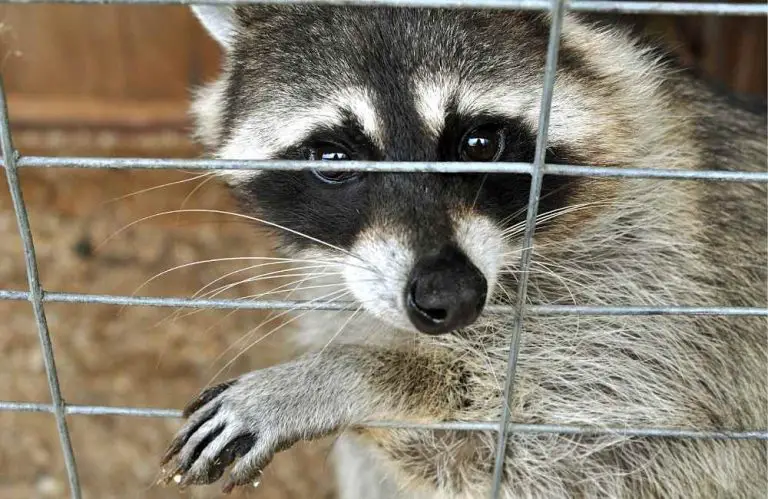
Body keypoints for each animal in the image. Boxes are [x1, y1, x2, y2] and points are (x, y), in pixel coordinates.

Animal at [158, 4, 768, 499]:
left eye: (479, 142)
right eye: (333, 158)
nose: (450, 295)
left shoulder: (657, 276)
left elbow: (566, 452)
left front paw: (350, 377)